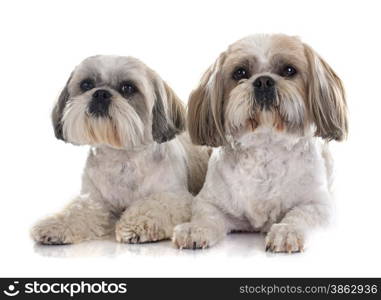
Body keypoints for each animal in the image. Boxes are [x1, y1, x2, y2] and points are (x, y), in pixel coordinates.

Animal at [31, 55, 209, 245]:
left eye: (128, 88)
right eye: (86, 84)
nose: (101, 93)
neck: (122, 157)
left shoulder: (175, 197)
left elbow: (151, 206)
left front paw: (135, 225)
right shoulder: (94, 200)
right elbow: (77, 209)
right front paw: (55, 225)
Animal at [172, 34, 348, 253]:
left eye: (289, 70)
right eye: (240, 72)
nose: (263, 81)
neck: (266, 147)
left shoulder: (319, 205)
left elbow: (300, 215)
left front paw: (286, 231)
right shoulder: (209, 202)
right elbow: (207, 216)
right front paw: (194, 229)